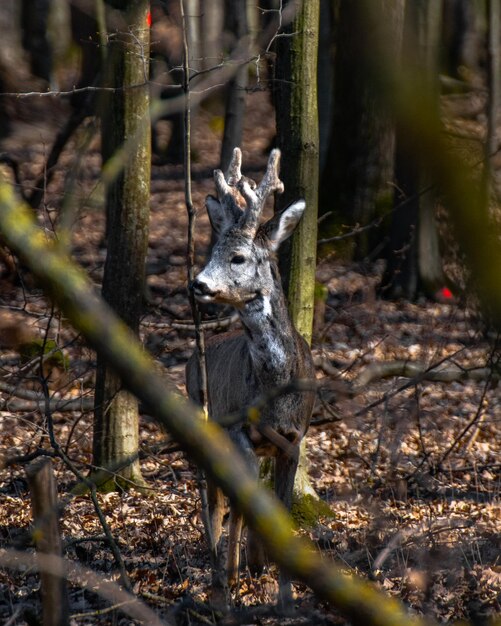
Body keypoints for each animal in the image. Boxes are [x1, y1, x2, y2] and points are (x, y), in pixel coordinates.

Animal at [186, 146, 314, 604]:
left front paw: (284, 593)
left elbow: (282, 511)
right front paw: (237, 576)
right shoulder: (239, 429)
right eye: (210, 253)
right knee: (214, 499)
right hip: (204, 418)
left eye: (238, 257)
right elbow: (240, 503)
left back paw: (240, 567)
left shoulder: (294, 438)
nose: (198, 283)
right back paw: (219, 573)